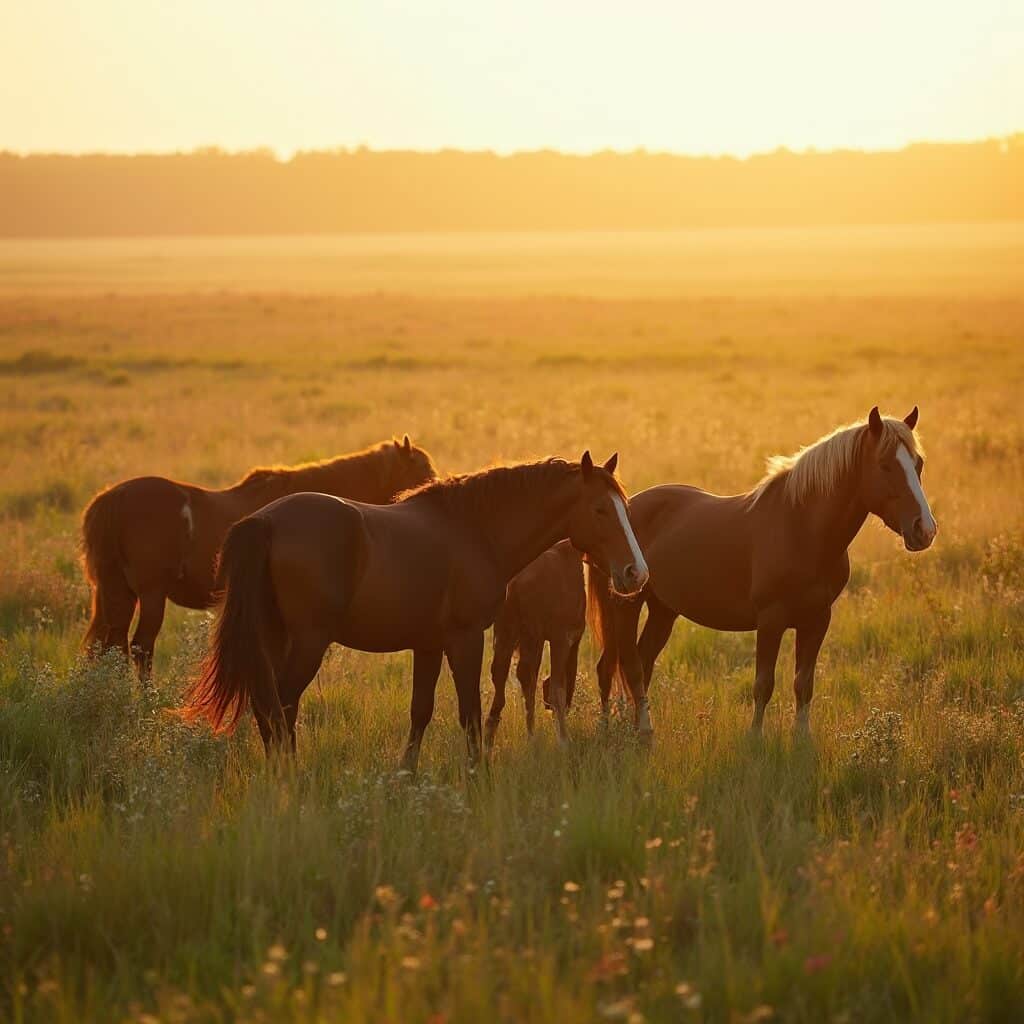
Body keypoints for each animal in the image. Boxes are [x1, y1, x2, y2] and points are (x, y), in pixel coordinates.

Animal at [81, 436, 437, 677]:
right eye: (421, 469)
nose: (432, 491)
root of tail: (114, 498)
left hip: (119, 591)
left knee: (111, 646)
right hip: (151, 593)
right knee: (140, 647)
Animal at [485, 539, 586, 749]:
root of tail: (515, 585)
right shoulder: (564, 637)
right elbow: (559, 684)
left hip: (509, 633)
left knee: (504, 675)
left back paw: (492, 736)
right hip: (536, 634)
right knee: (548, 683)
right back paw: (562, 739)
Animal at [588, 408, 936, 737]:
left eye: (918, 463)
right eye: (885, 465)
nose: (925, 530)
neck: (801, 528)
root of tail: (625, 509)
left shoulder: (817, 619)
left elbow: (803, 685)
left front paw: (801, 739)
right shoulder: (771, 619)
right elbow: (763, 685)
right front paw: (755, 738)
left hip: (663, 609)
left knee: (641, 662)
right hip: (627, 605)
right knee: (626, 666)